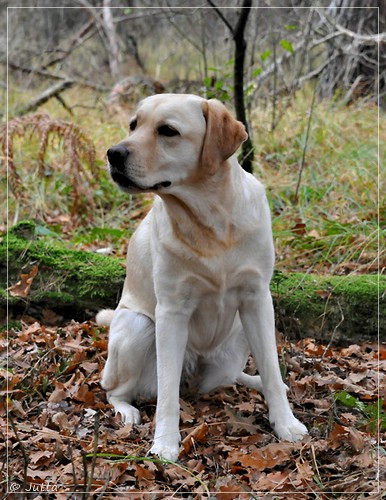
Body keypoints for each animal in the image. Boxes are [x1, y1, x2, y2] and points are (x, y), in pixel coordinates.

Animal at [97, 94, 308, 460]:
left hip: (238, 335)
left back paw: (252, 381)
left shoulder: (257, 299)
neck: (211, 222)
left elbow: (270, 366)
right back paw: (127, 411)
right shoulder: (171, 312)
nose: (113, 153)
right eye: (134, 125)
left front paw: (286, 423)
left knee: (234, 375)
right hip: (139, 326)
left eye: (168, 131)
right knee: (113, 389)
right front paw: (165, 442)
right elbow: (168, 393)